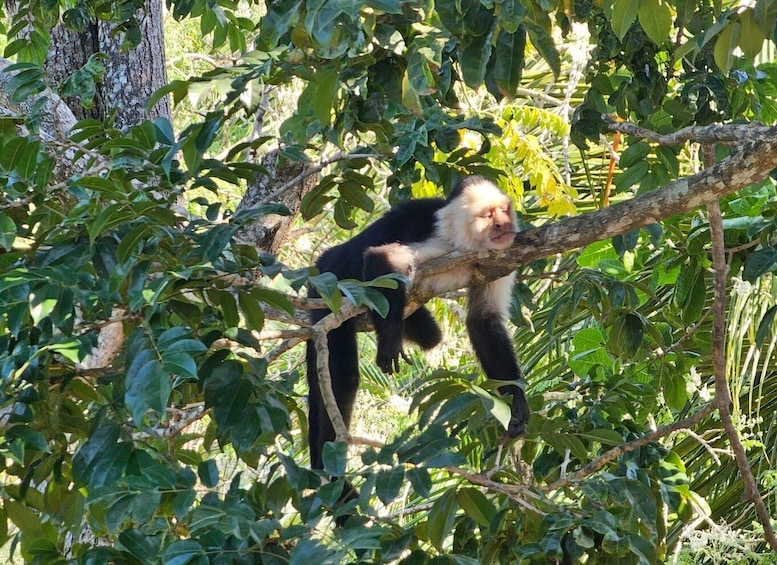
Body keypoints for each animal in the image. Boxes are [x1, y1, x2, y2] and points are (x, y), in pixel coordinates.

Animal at [305, 175, 529, 472]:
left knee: (430, 335)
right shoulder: (444, 245)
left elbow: (484, 319)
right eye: (487, 215)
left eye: (504, 210)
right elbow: (381, 258)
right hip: (327, 289)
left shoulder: (500, 257)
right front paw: (389, 339)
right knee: (342, 378)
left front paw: (516, 402)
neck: (467, 243)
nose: (503, 225)